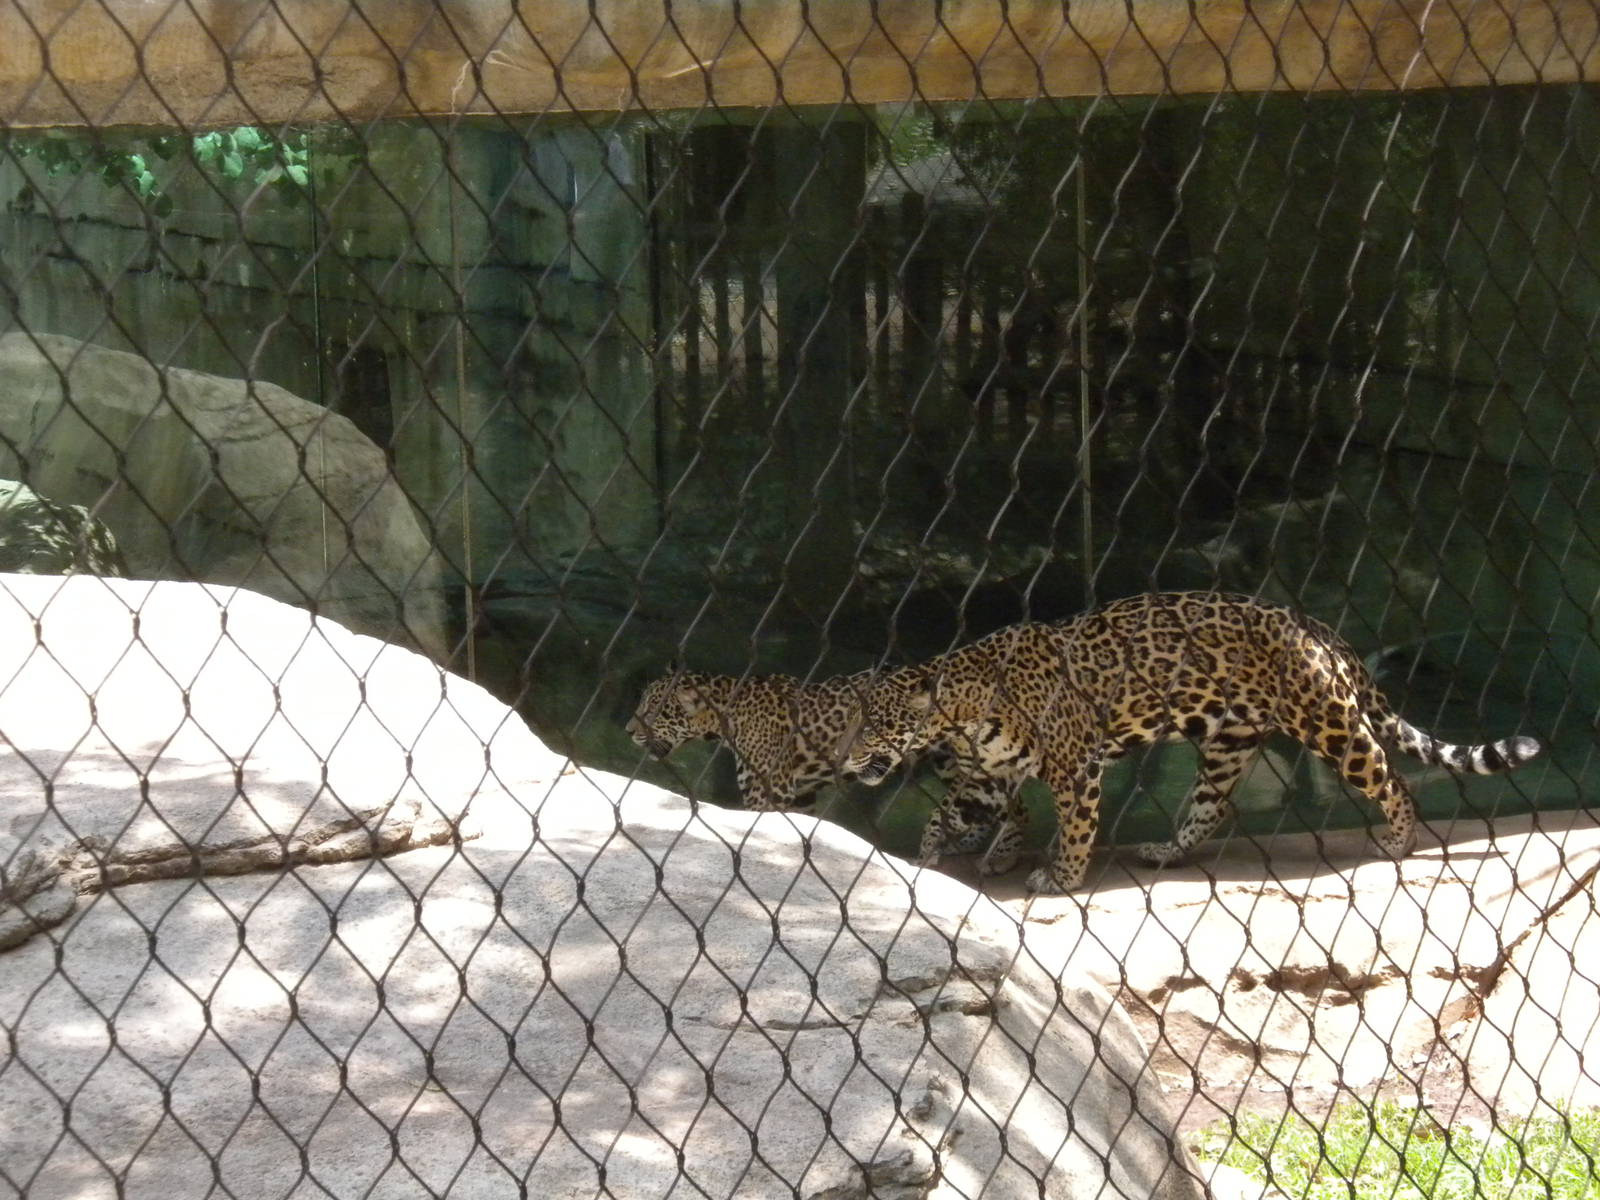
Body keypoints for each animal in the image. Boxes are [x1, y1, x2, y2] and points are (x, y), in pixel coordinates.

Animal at [850, 591, 1543, 894]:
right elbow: (948, 812)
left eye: (873, 726)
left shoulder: (1075, 767)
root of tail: (1316, 626)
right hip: (1229, 741)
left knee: (1387, 773)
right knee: (1211, 805)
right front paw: (928, 859)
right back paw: (1168, 850)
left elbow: (1075, 824)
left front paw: (1062, 877)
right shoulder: (989, 775)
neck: (964, 712)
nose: (849, 759)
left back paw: (1397, 840)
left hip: (1327, 720)